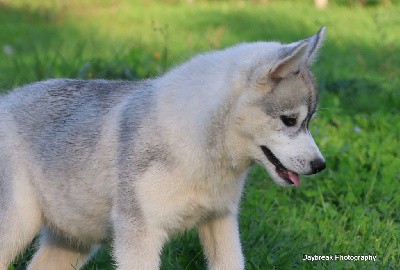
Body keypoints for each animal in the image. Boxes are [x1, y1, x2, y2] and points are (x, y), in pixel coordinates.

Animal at [0, 26, 326, 268]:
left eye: (309, 121)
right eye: (289, 120)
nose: (320, 166)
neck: (199, 142)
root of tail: (6, 99)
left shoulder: (220, 220)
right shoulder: (140, 234)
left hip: (72, 240)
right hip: (17, 227)